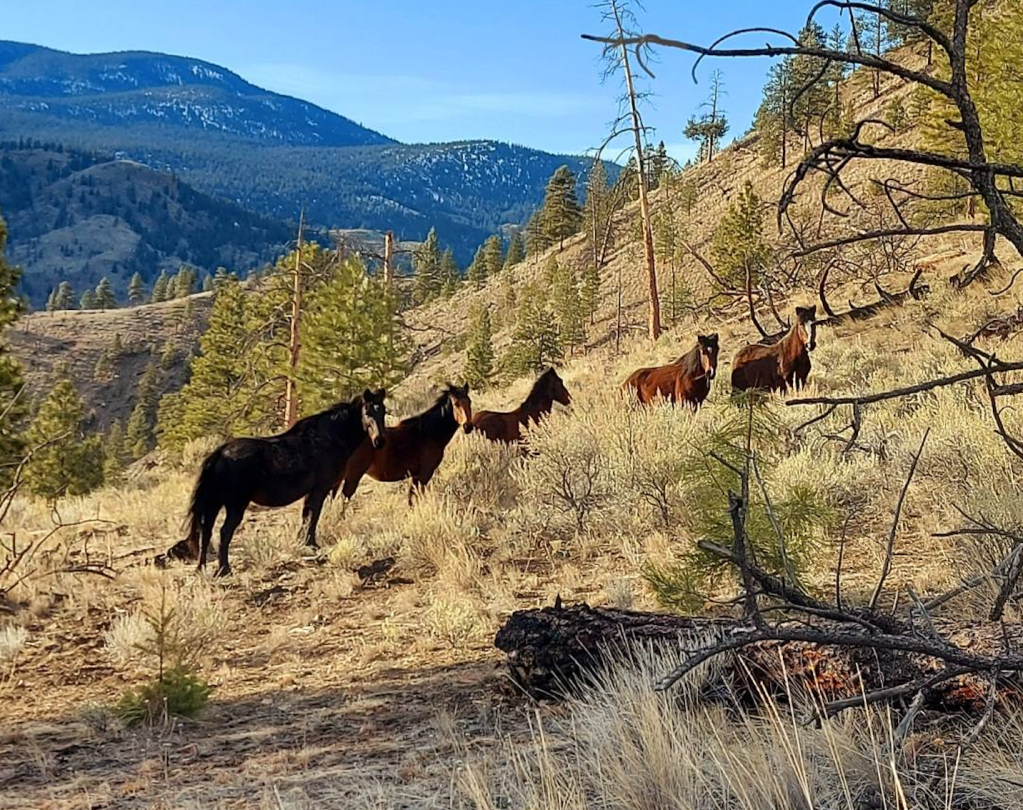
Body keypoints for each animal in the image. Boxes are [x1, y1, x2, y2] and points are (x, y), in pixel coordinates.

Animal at [155, 389, 387, 576]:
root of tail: (220, 454)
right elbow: (313, 517)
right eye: (368, 412)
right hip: (235, 505)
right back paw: (224, 569)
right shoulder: (320, 489)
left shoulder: (313, 491)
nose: (379, 441)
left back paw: (202, 569)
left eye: (383, 411)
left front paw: (303, 542)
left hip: (213, 503)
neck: (329, 438)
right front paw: (311, 544)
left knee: (206, 532)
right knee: (224, 532)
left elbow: (306, 517)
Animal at [336, 383, 473, 505]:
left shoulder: (416, 476)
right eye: (456, 404)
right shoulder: (424, 474)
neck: (428, 433)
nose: (468, 427)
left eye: (469, 402)